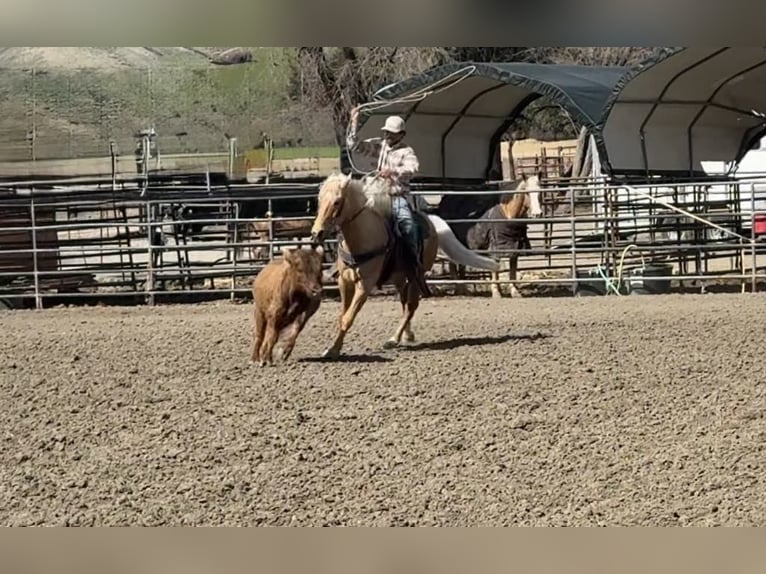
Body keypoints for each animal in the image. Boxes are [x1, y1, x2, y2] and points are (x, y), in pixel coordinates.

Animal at [309, 172, 500, 359]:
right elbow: (342, 315)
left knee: (411, 306)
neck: (361, 239)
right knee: (404, 303)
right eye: (319, 200)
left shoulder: (365, 285)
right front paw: (333, 348)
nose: (316, 233)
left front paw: (333, 350)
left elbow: (348, 318)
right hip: (399, 277)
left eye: (337, 201)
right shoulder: (344, 281)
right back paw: (406, 335)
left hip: (415, 275)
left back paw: (394, 339)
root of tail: (430, 222)